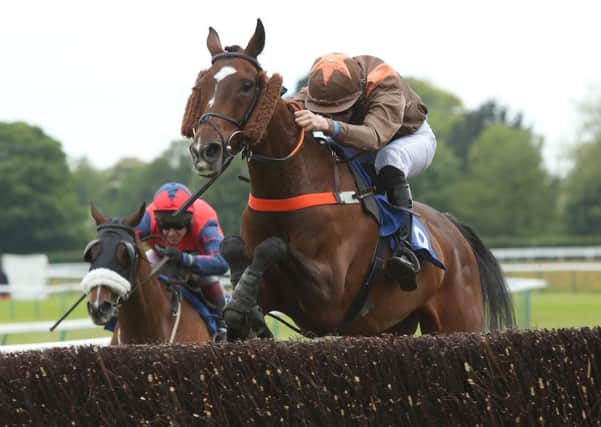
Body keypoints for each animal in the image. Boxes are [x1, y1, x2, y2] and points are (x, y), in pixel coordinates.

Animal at [185, 20, 512, 340]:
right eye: (201, 85)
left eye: (247, 85)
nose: (205, 150)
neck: (288, 188)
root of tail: (454, 230)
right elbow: (233, 247)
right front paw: (242, 300)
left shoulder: (331, 296)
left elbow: (274, 246)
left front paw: (242, 298)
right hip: (393, 325)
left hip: (460, 319)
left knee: (392, 166)